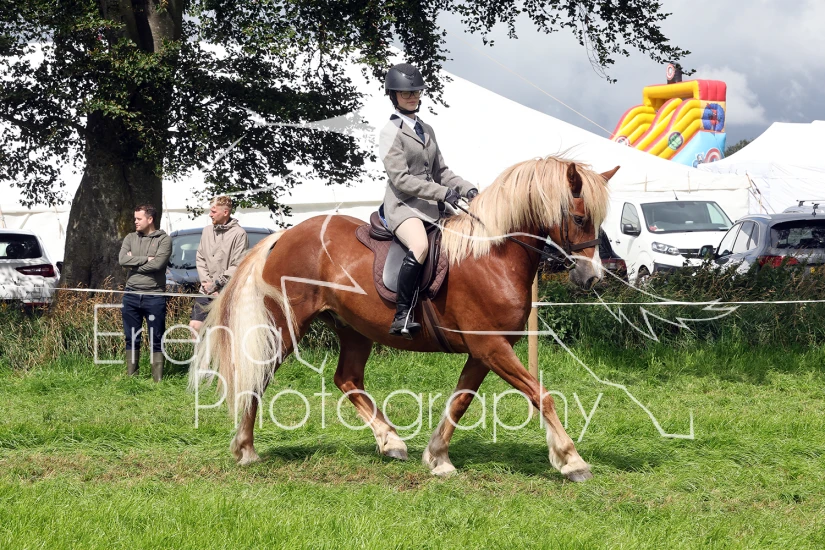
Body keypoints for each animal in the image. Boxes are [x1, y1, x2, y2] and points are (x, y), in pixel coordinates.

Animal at [190, 155, 618, 481]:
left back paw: (391, 441)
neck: (492, 255)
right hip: (286, 326)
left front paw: (438, 457)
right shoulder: (491, 347)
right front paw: (572, 460)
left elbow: (461, 400)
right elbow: (541, 395)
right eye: (580, 218)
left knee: (347, 379)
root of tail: (284, 235)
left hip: (354, 329)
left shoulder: (485, 351)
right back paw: (246, 450)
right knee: (259, 377)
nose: (591, 278)